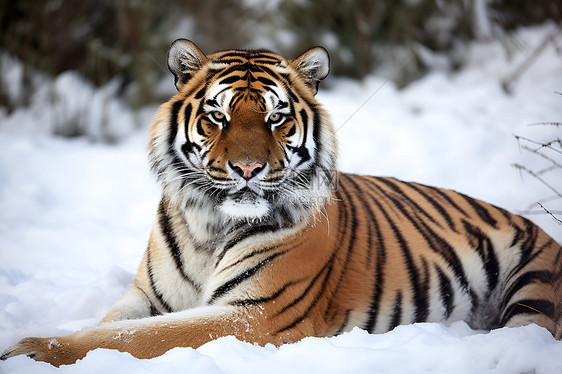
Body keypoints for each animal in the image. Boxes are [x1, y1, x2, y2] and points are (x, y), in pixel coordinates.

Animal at [2, 39, 556, 366]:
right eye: (218, 117)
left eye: (276, 118)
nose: (248, 169)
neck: (209, 226)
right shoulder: (147, 298)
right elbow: (108, 328)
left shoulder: (254, 313)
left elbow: (134, 338)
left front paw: (24, 349)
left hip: (534, 292)